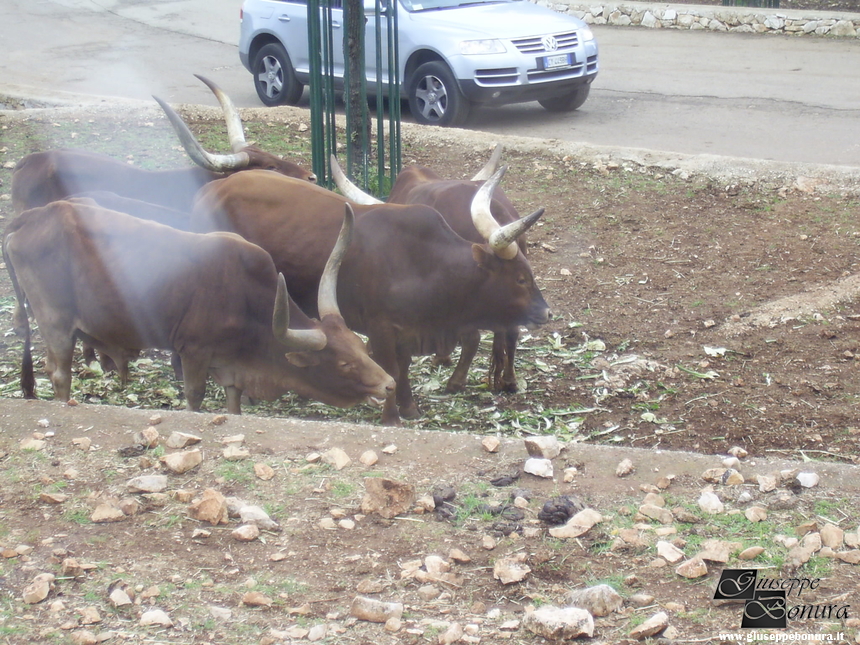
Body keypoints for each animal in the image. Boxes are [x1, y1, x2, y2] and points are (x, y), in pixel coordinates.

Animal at [1, 196, 394, 416]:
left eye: (362, 349)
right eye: (343, 364)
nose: (389, 384)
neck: (247, 298)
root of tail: (36, 215)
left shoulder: (233, 368)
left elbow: (234, 403)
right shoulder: (193, 352)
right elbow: (194, 397)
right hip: (55, 324)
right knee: (60, 375)